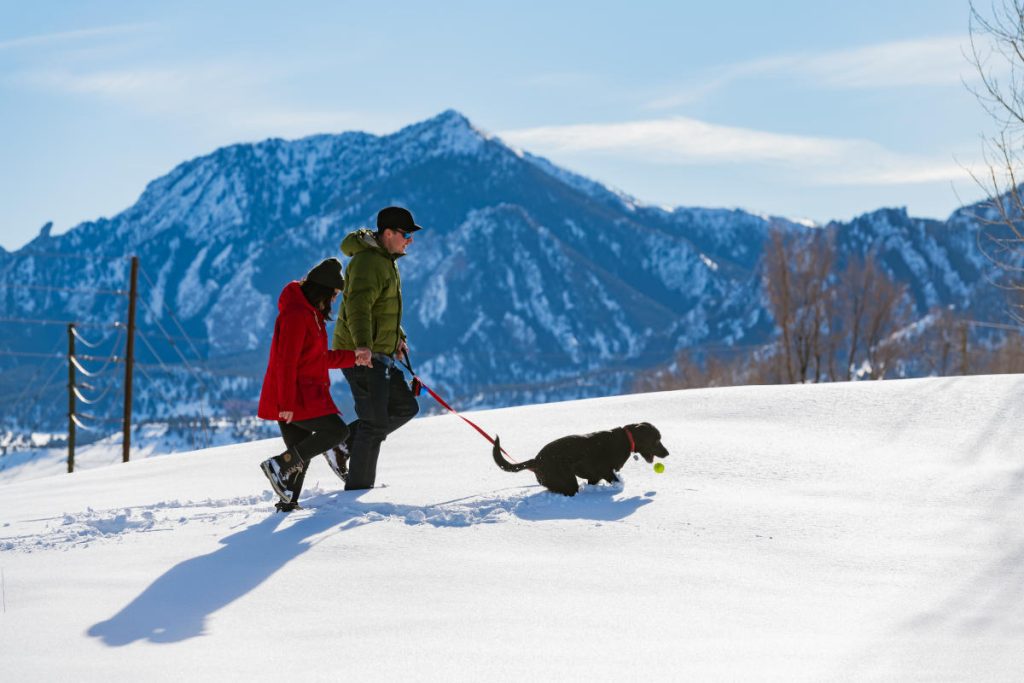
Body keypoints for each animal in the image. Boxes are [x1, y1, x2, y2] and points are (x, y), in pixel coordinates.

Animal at [489, 421, 667, 497]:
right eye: (657, 440)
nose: (667, 453)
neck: (626, 439)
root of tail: (536, 460)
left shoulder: (594, 476)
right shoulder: (605, 472)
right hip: (567, 482)